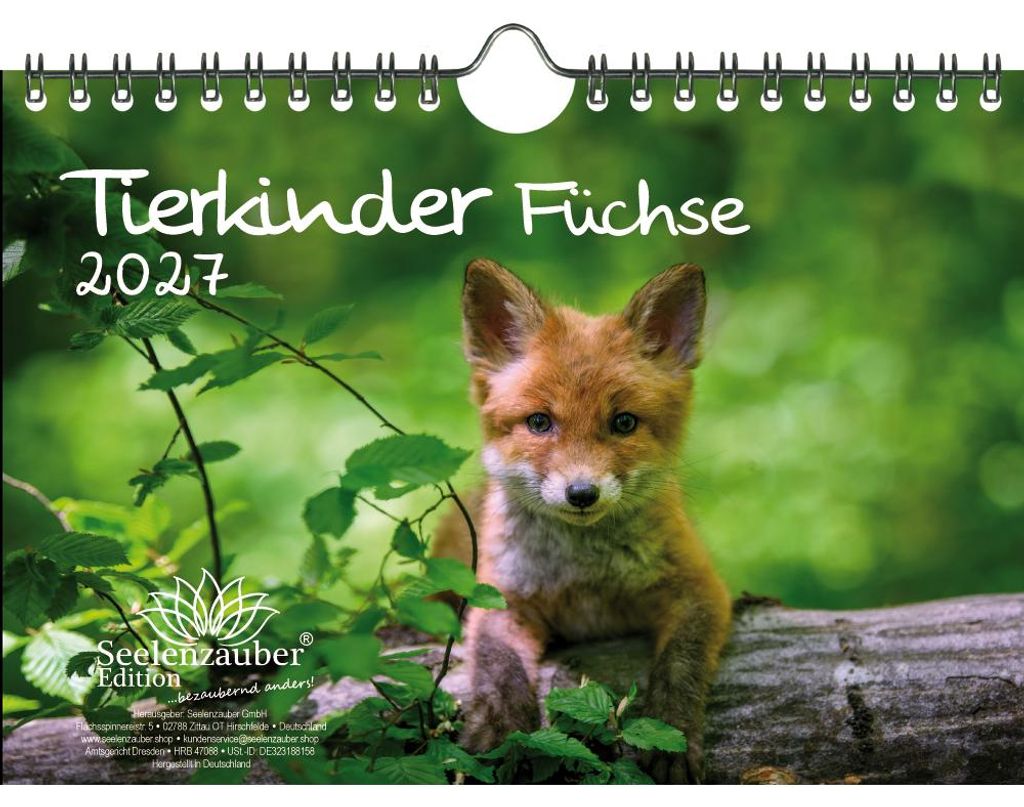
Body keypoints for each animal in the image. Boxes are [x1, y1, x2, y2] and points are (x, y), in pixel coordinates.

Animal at [431, 258, 732, 784]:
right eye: (539, 422)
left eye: (624, 422)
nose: (581, 493)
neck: (583, 575)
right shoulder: (501, 597)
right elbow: (498, 667)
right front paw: (500, 730)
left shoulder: (699, 588)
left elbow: (681, 664)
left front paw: (672, 732)